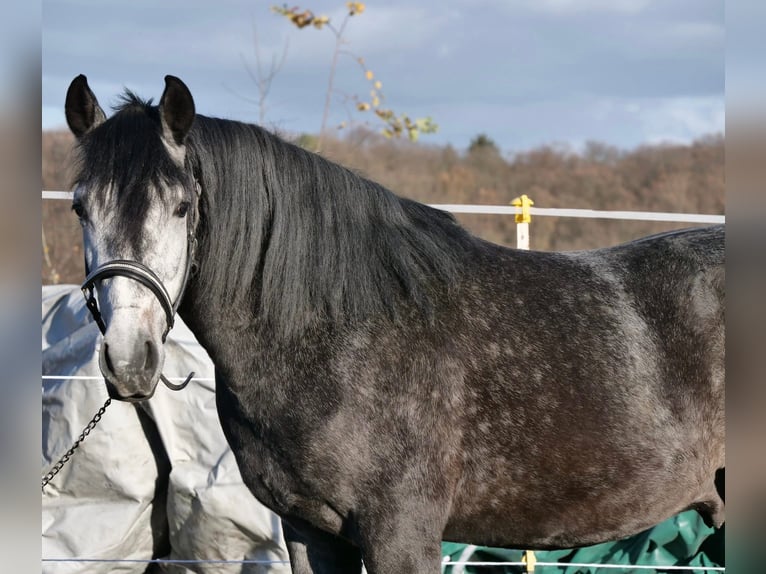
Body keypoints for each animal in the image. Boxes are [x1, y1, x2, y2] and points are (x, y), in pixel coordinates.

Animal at [63, 74, 725, 573]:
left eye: (180, 206)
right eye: (79, 207)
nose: (129, 359)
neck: (338, 336)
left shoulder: (400, 532)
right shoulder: (311, 532)